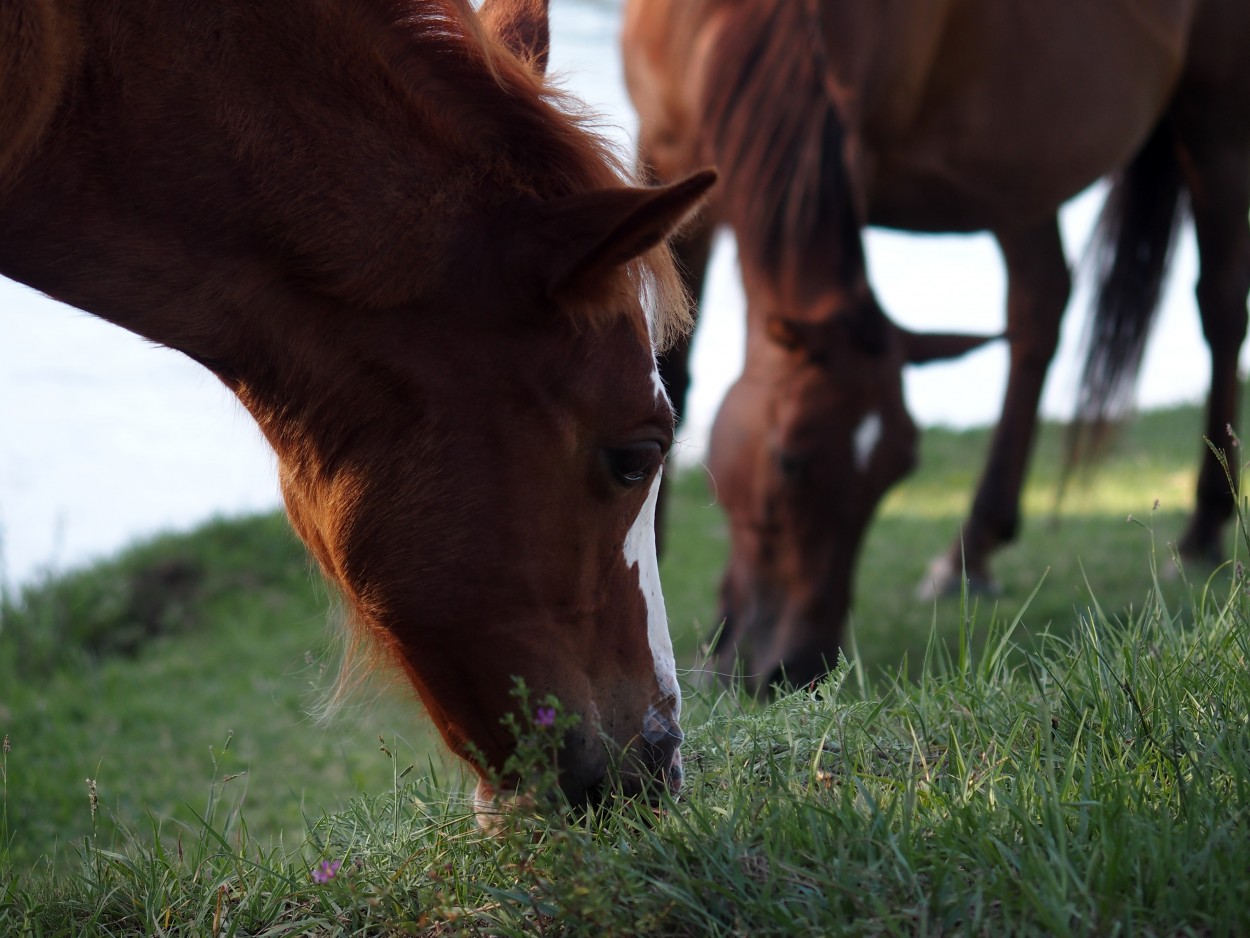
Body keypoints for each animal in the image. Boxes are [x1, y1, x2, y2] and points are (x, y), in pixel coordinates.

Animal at [625, 0, 1250, 690]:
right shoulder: (666, 151)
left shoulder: (855, 147)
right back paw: (970, 553)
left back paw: (1202, 528)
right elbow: (668, 366)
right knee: (1040, 306)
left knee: (1220, 305)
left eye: (897, 475)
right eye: (790, 461)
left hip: (1215, 121)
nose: (800, 670)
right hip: (1021, 165)